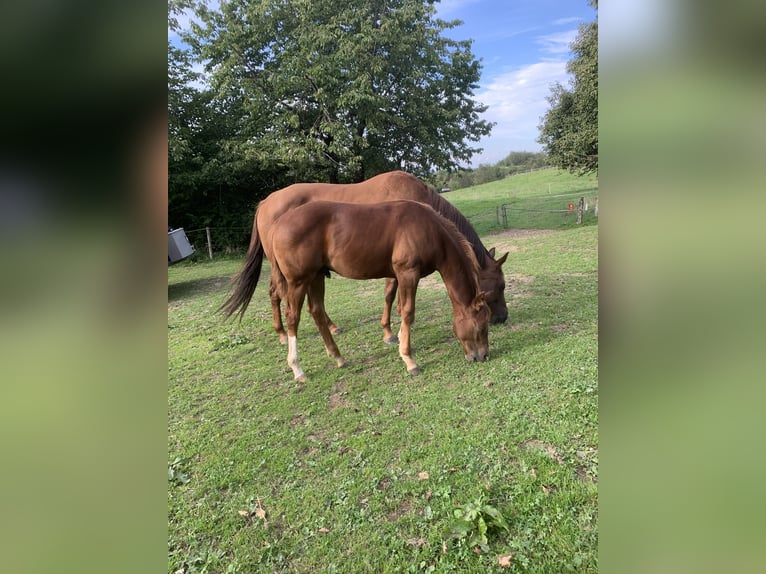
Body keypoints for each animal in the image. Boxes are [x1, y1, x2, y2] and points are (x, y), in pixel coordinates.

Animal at [224, 169, 510, 344]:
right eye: (500, 286)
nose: (502, 318)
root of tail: (266, 202)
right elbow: (390, 295)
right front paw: (390, 332)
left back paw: (330, 327)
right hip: (281, 269)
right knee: (276, 293)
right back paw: (283, 333)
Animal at [228, 199, 492, 382]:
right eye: (481, 326)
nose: (483, 356)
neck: (428, 228)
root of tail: (277, 224)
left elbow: (399, 309)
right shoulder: (407, 273)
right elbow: (407, 312)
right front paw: (409, 360)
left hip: (316, 277)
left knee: (317, 312)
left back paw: (338, 357)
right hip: (298, 282)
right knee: (293, 317)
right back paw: (297, 369)